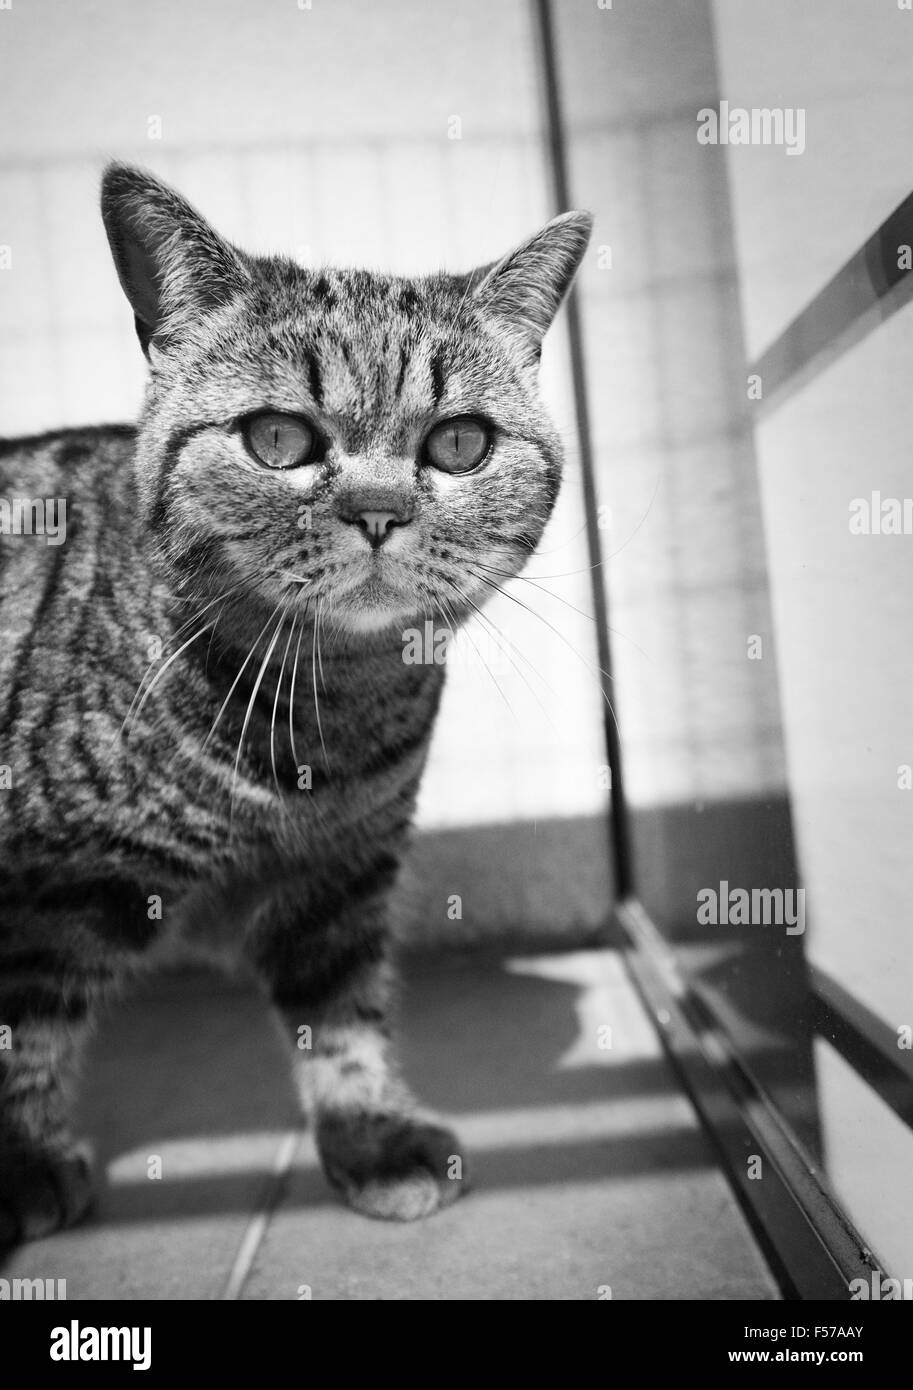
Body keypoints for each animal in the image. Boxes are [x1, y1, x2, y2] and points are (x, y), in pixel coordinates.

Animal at [0, 162, 591, 1239]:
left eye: (459, 443)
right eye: (277, 438)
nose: (379, 510)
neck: (322, 719)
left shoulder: (341, 876)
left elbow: (345, 1019)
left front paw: (371, 1134)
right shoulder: (46, 887)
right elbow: (23, 1026)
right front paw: (19, 1163)